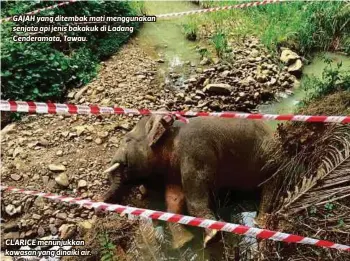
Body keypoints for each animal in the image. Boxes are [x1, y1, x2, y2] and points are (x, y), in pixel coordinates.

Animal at [103, 114, 274, 248]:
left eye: (127, 140)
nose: (101, 200)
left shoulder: (195, 152)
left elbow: (195, 195)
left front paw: (211, 239)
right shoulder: (172, 171)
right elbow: (173, 200)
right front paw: (184, 242)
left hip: (268, 158)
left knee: (269, 188)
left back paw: (260, 224)